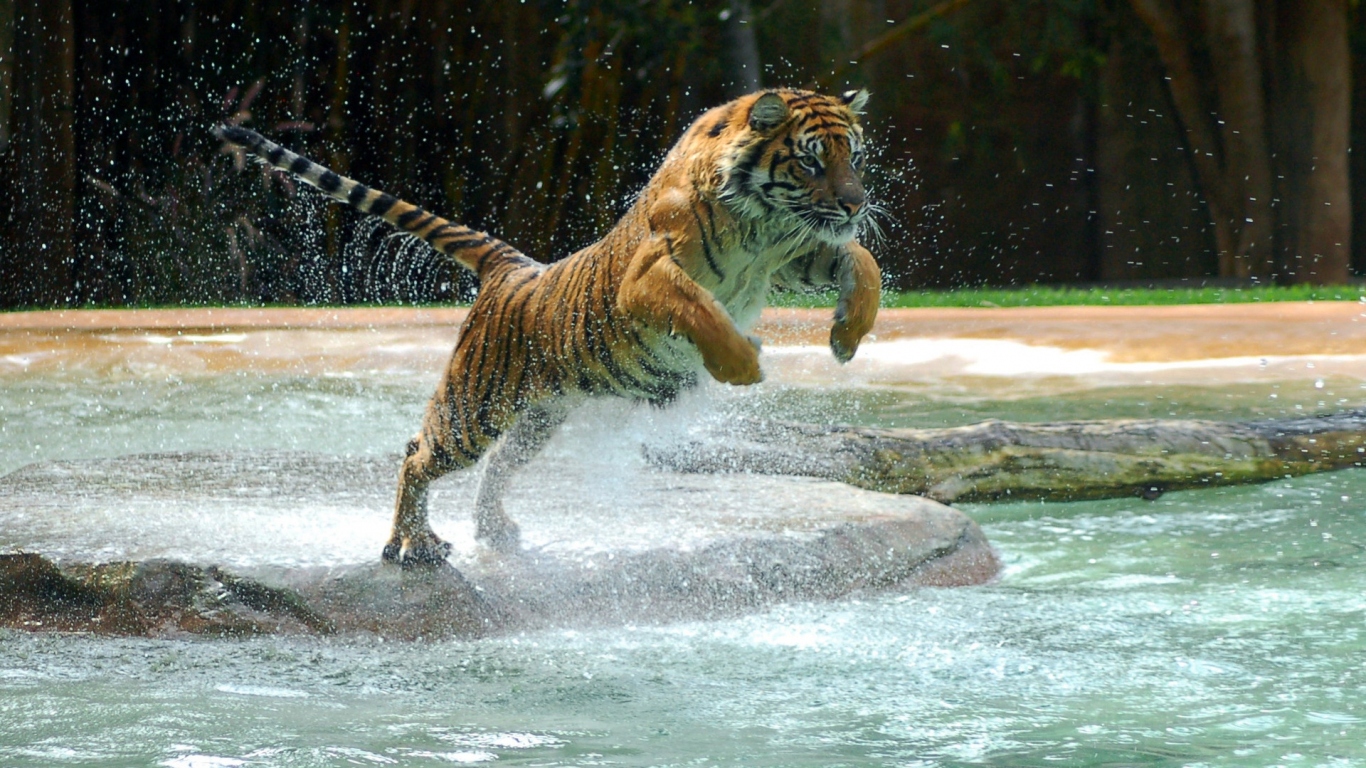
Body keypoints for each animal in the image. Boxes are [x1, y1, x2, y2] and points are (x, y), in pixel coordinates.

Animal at [214, 87, 881, 566]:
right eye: (811, 160)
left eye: (853, 156)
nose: (857, 203)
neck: (762, 225)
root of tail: (513, 267)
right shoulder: (648, 277)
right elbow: (702, 310)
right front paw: (743, 363)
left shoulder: (796, 255)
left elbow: (862, 261)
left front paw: (846, 336)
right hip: (474, 407)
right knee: (416, 455)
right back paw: (413, 546)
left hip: (539, 416)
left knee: (496, 468)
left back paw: (495, 533)